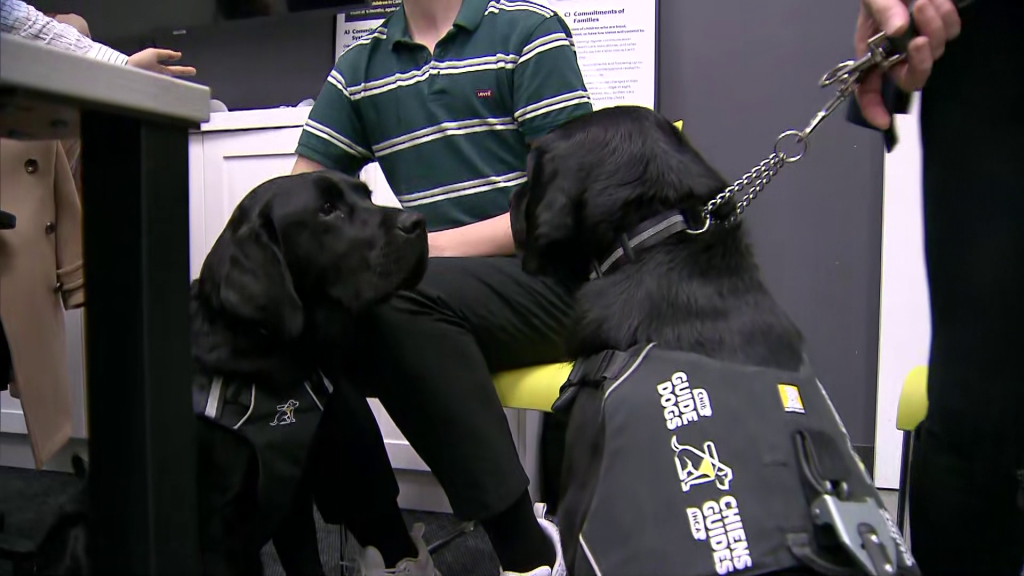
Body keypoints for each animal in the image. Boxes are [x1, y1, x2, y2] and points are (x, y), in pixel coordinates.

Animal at [36, 168, 428, 569]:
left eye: (367, 196)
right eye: (327, 209)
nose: (418, 222)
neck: (269, 358)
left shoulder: (293, 506)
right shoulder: (217, 532)